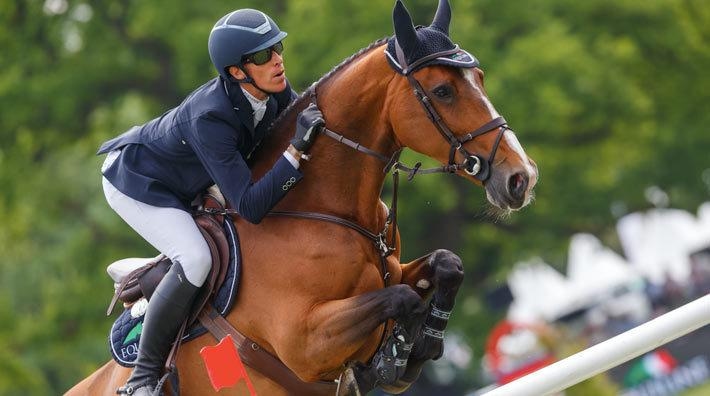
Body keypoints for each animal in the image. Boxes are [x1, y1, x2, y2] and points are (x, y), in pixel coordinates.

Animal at [68, 1, 540, 394]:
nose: (522, 177)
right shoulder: (306, 343)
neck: (322, 211)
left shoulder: (395, 269)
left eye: (479, 79)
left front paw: (421, 344)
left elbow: (446, 265)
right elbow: (401, 299)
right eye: (443, 91)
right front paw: (394, 356)